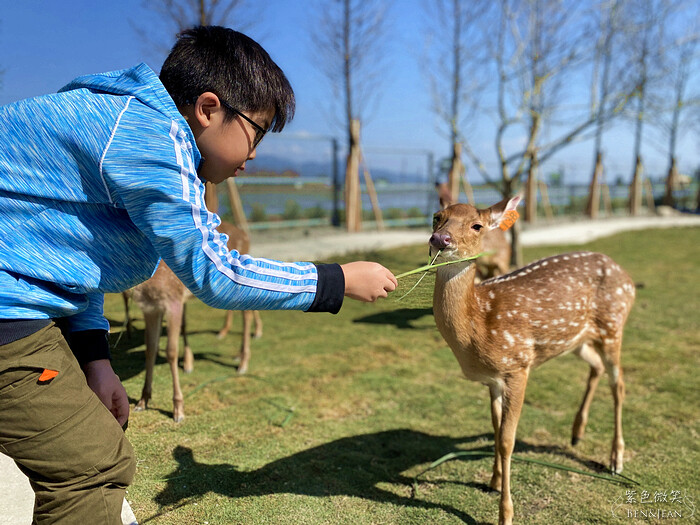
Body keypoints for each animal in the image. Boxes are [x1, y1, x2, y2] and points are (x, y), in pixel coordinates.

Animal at [129, 221, 262, 422]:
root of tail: (246, 236)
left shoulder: (173, 299)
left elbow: (171, 352)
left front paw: (178, 410)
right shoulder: (150, 309)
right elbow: (150, 349)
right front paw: (142, 401)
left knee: (246, 314)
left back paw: (243, 364)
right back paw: (238, 355)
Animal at [429, 196, 635, 525]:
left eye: (477, 225)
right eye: (437, 217)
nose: (440, 239)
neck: (479, 325)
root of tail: (627, 278)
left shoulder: (517, 365)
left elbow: (506, 440)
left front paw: (505, 514)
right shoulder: (492, 379)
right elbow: (494, 429)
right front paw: (493, 481)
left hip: (613, 326)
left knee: (619, 384)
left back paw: (616, 460)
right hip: (575, 339)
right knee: (596, 365)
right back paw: (576, 433)